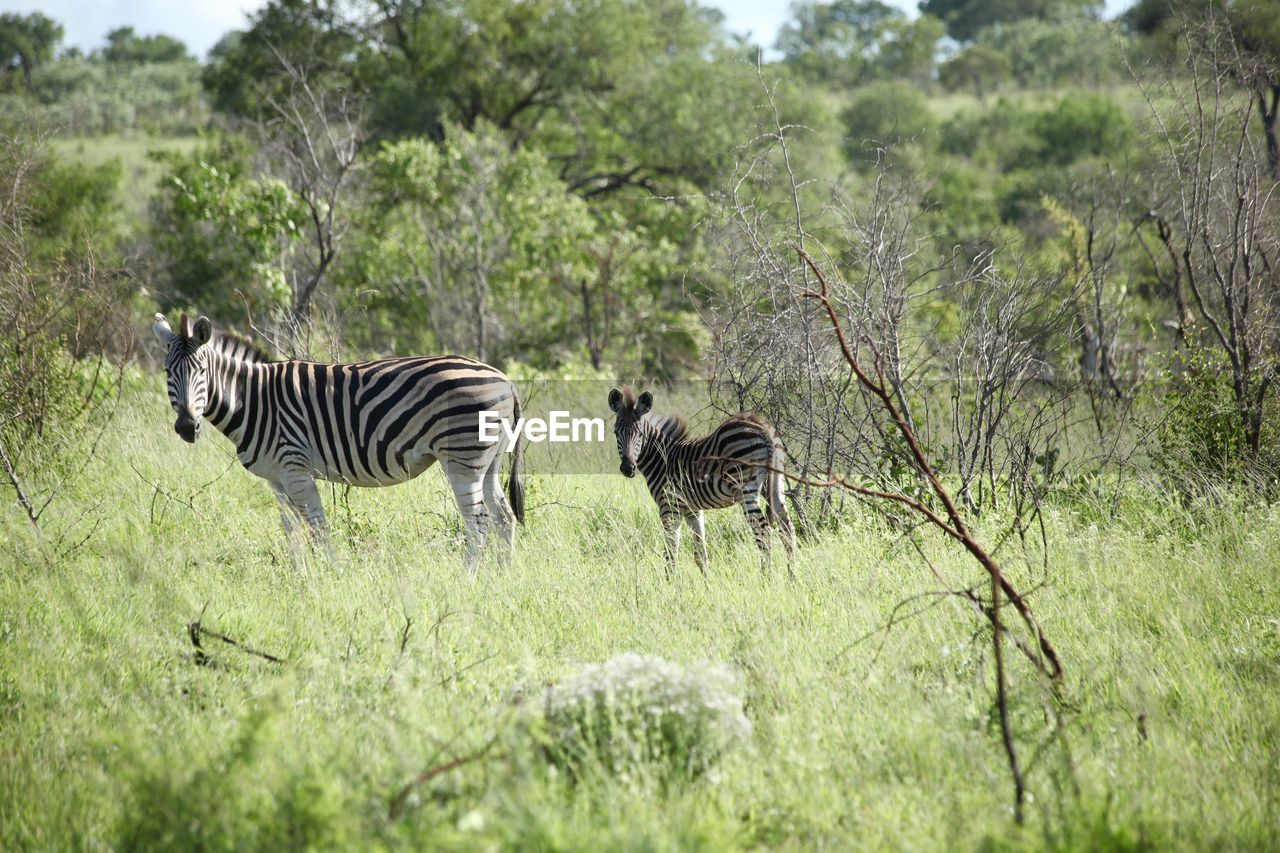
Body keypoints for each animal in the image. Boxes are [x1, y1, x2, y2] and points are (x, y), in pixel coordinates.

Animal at [153, 312, 524, 571]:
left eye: (202, 372)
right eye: (168, 373)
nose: (186, 427)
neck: (254, 400)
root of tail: (504, 379)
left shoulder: (296, 469)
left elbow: (318, 528)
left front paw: (333, 575)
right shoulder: (276, 478)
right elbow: (292, 531)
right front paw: (300, 577)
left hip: (463, 459)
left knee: (478, 524)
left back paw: (468, 579)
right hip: (488, 462)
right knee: (504, 518)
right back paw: (501, 577)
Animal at [606, 384, 788, 571]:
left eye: (641, 435)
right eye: (615, 433)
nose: (627, 468)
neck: (662, 459)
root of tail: (760, 425)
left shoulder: (669, 507)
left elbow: (670, 554)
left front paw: (670, 579)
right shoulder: (692, 510)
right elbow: (700, 555)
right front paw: (707, 579)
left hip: (745, 488)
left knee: (763, 530)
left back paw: (766, 573)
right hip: (776, 482)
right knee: (786, 527)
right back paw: (791, 572)